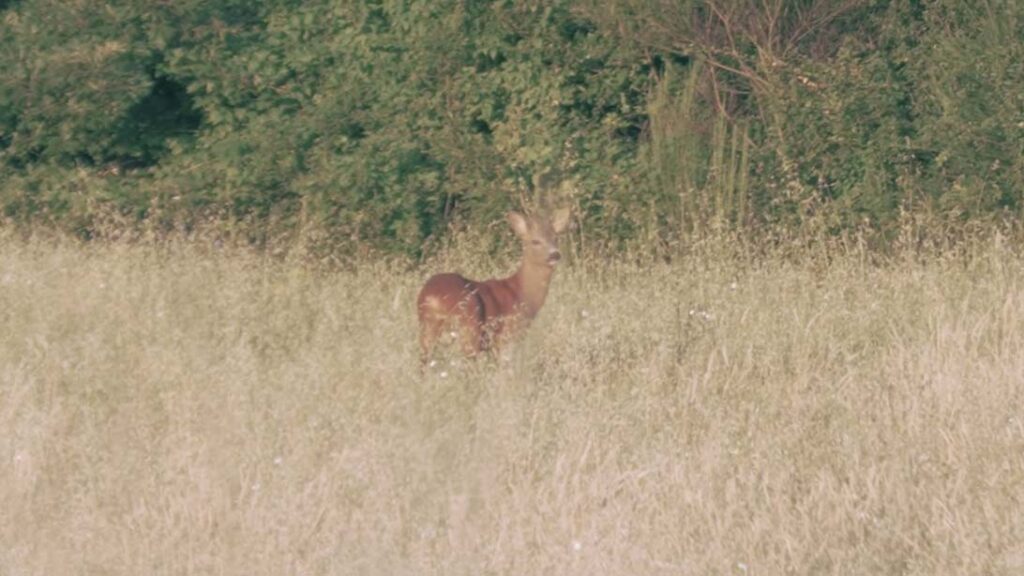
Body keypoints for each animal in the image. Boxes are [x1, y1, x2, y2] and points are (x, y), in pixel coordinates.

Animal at [417, 208, 577, 364]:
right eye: (535, 241)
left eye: (556, 238)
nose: (555, 254)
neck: (521, 293)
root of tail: (432, 298)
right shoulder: (507, 335)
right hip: (469, 327)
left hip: (428, 329)